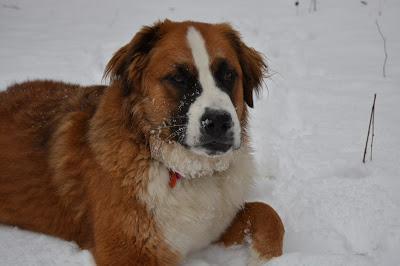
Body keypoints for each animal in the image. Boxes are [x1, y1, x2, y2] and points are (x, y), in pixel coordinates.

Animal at [0, 19, 284, 264]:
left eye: (228, 75)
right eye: (178, 78)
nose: (218, 121)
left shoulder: (214, 225)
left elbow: (268, 212)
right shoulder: (129, 251)